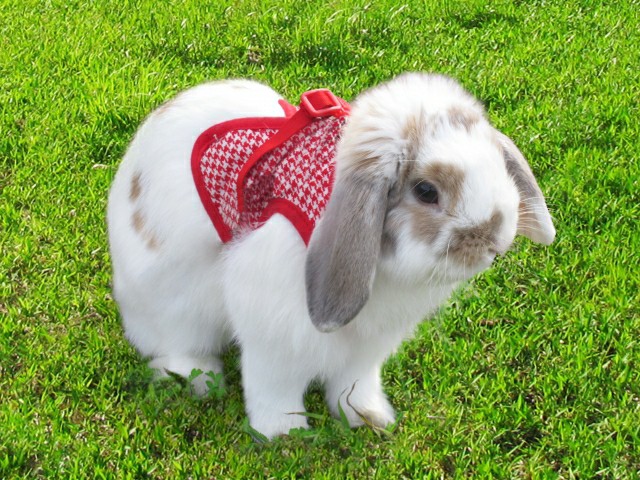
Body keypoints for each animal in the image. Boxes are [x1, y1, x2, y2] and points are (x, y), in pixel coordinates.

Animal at [107, 73, 555, 439]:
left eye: (497, 164)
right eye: (426, 191)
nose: (494, 237)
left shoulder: (368, 346)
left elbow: (354, 384)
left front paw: (369, 417)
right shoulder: (276, 333)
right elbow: (274, 387)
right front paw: (283, 434)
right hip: (177, 308)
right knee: (179, 346)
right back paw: (201, 380)